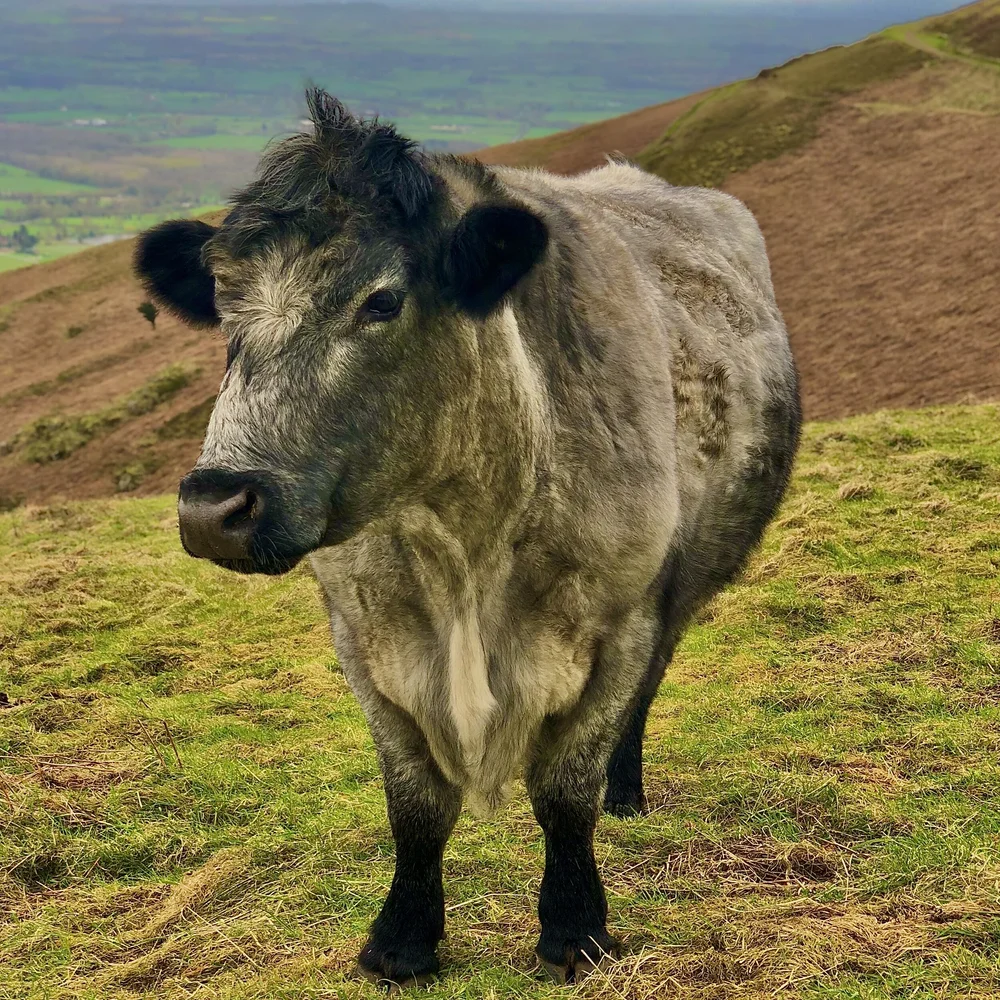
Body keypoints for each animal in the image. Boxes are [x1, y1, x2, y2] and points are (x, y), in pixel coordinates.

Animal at [134, 88, 801, 988]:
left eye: (382, 301)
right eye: (223, 307)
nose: (213, 508)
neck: (465, 543)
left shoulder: (620, 622)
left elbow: (565, 792)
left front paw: (574, 928)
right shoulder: (366, 635)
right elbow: (414, 803)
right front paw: (403, 939)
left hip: (683, 583)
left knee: (646, 694)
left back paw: (626, 791)